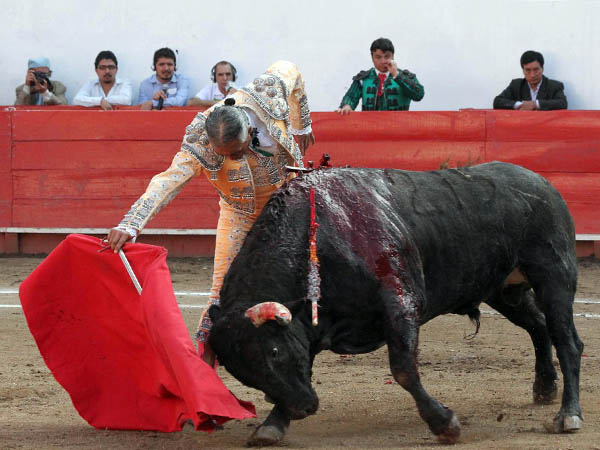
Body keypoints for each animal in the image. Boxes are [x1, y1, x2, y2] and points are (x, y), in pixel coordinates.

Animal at [207, 161, 584, 446]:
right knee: (538, 326)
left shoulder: (402, 303)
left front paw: (444, 424)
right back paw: (545, 388)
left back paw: (568, 415)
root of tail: (542, 183)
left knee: (567, 341)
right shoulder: (313, 324)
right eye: (244, 375)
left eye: (273, 352)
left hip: (555, 275)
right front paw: (272, 424)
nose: (304, 408)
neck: (320, 238)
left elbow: (403, 368)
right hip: (504, 289)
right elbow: (305, 366)